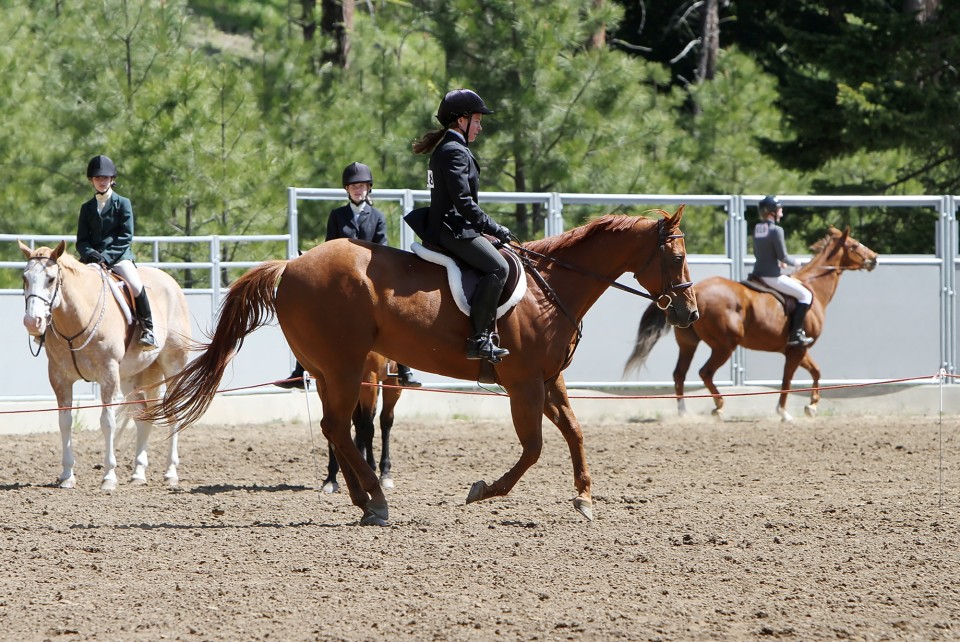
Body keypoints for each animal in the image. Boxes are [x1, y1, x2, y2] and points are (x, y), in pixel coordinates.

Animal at [19, 240, 192, 490]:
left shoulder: (108, 376)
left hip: (173, 366)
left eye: (50, 279)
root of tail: (170, 282)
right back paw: (138, 473)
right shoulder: (60, 378)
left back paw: (170, 473)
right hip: (131, 377)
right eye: (25, 278)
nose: (32, 322)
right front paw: (67, 475)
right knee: (142, 416)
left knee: (172, 413)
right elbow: (65, 422)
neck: (76, 320)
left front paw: (109, 477)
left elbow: (107, 422)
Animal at [140, 209, 698, 525]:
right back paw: (375, 502)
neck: (550, 288)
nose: (688, 314)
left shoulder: (548, 379)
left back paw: (364, 499)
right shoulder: (522, 383)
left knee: (336, 428)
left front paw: (583, 499)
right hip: (347, 369)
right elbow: (534, 448)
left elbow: (576, 432)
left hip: (329, 371)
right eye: (675, 258)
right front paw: (484, 491)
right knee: (341, 427)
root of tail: (290, 265)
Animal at [624, 226, 878, 421]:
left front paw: (812, 406)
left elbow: (816, 371)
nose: (874, 258)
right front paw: (784, 412)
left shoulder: (797, 349)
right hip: (724, 346)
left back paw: (684, 413)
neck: (814, 287)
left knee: (679, 375)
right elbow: (788, 379)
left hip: (688, 343)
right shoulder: (797, 349)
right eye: (854, 246)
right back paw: (718, 407)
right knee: (705, 372)